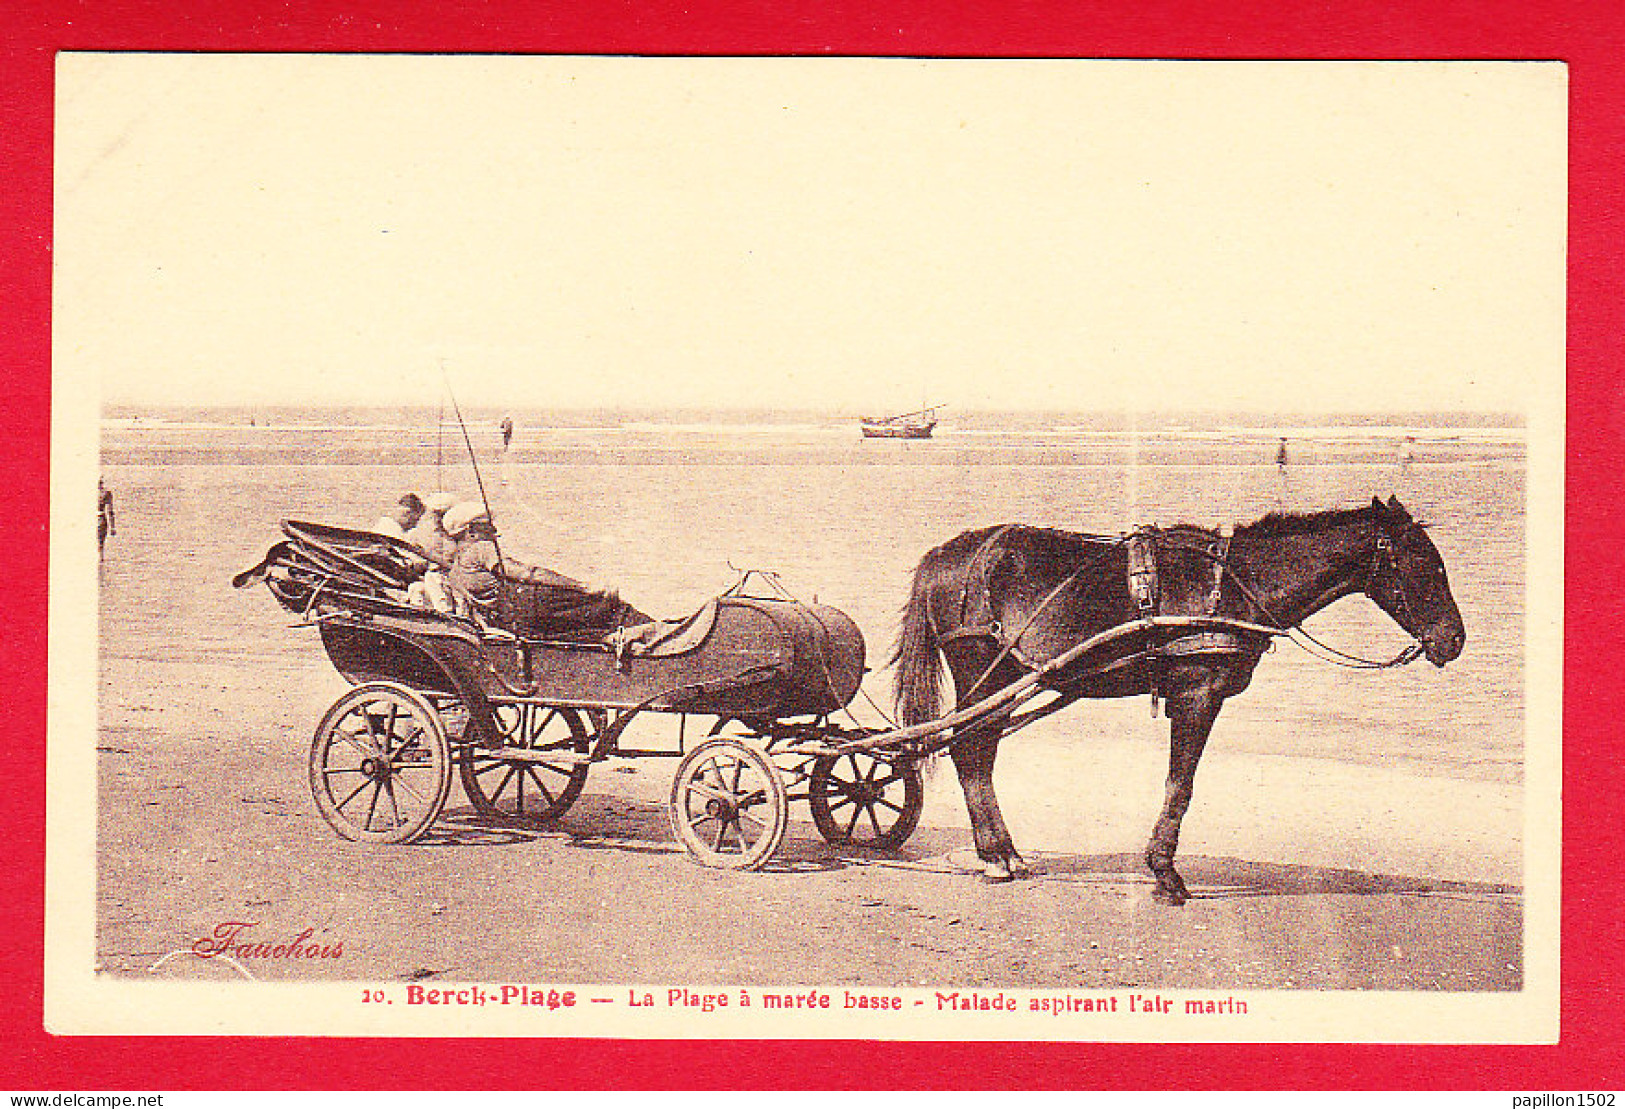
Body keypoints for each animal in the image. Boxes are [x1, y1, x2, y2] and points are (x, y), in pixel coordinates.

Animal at [897, 497, 1469, 904]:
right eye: (1424, 566)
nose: (1455, 639)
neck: (1236, 587)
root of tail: (947, 555)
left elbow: (1180, 785)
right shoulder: (1197, 696)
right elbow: (1180, 786)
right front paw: (1165, 873)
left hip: (1002, 681)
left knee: (977, 753)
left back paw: (1004, 852)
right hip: (982, 672)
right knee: (970, 752)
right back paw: (995, 856)